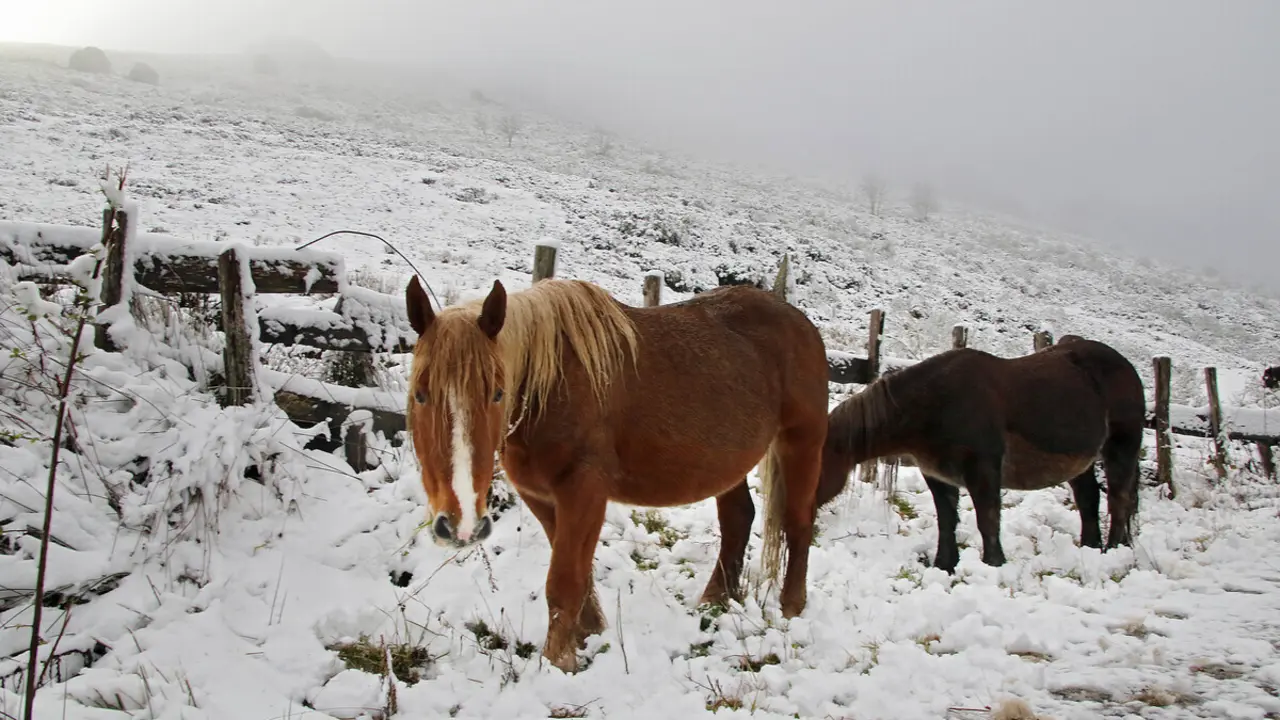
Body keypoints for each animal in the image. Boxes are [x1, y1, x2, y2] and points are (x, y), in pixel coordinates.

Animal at [404, 272, 834, 666]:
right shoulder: (541, 497)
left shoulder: (584, 492)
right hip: (729, 463)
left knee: (799, 521)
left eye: (497, 392)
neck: (552, 388)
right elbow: (578, 575)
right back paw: (715, 599)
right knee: (738, 519)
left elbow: (564, 581)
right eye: (420, 394)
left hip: (802, 443)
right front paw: (589, 634)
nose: (460, 525)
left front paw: (558, 662)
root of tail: (800, 322)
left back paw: (791, 606)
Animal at [814, 335, 1146, 571]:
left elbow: (987, 519)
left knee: (1119, 499)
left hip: (1121, 447)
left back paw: (1114, 550)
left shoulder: (984, 471)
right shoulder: (937, 475)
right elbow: (947, 521)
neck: (937, 405)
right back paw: (1090, 548)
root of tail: (1125, 365)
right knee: (1088, 498)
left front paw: (993, 564)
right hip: (1080, 460)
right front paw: (944, 566)